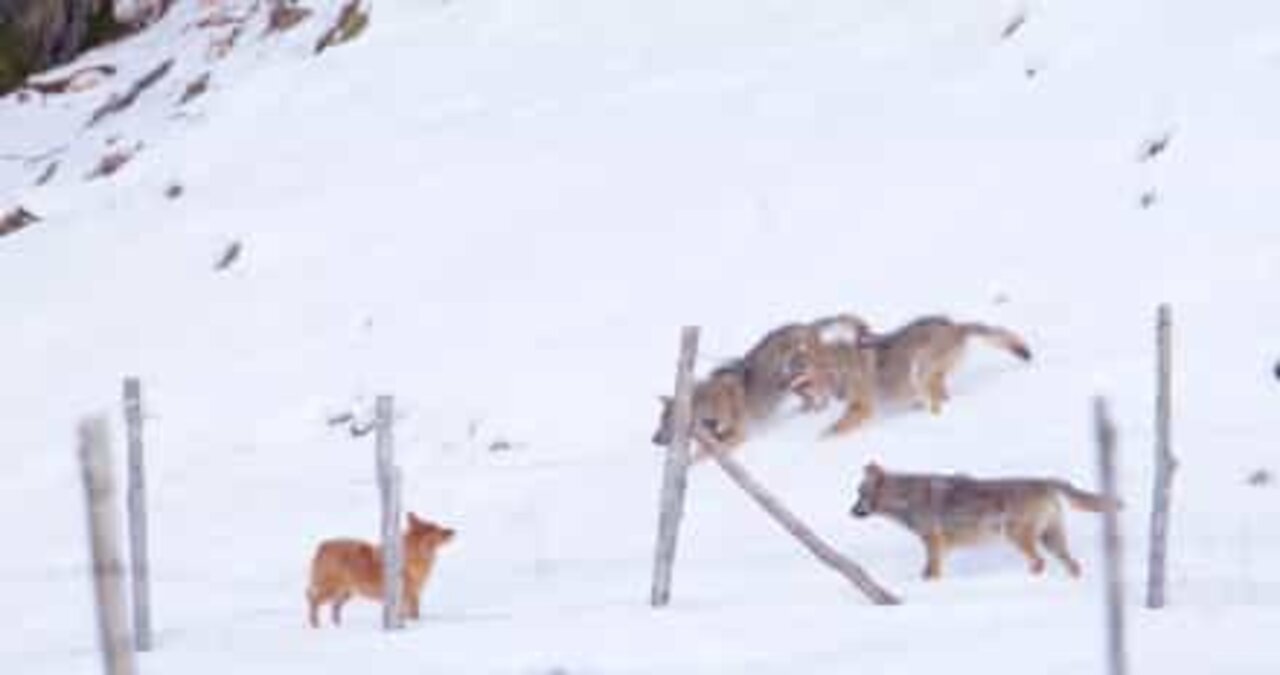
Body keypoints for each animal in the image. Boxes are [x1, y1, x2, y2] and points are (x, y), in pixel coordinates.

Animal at [304, 512, 455, 627]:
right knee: (313, 600)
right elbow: (413, 615)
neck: (415, 554)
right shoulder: (408, 596)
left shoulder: (410, 596)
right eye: (437, 529)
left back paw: (338, 626)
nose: (453, 530)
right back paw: (315, 625)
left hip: (346, 592)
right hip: (331, 589)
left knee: (333, 607)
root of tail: (323, 545)